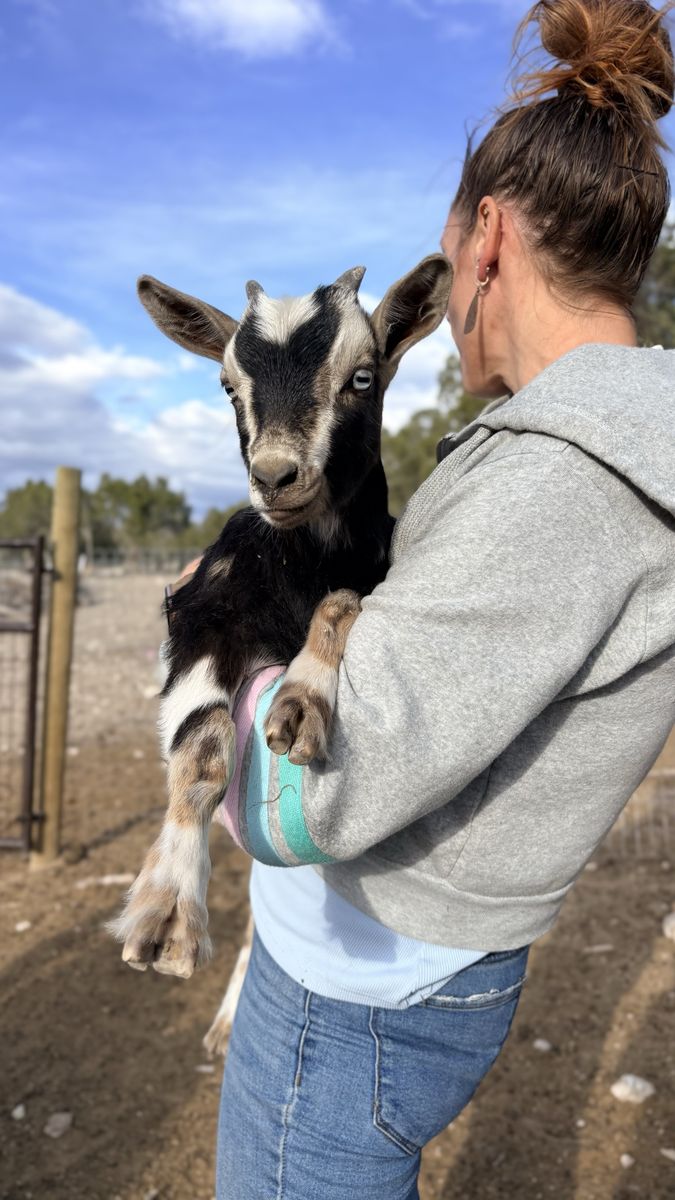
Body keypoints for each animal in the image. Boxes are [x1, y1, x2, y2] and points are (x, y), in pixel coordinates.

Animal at [108, 255, 453, 1029]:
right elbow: (203, 748)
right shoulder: (205, 619)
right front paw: (167, 915)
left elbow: (341, 604)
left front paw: (301, 701)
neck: (299, 563)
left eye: (363, 376)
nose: (274, 477)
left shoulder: (370, 578)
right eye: (227, 385)